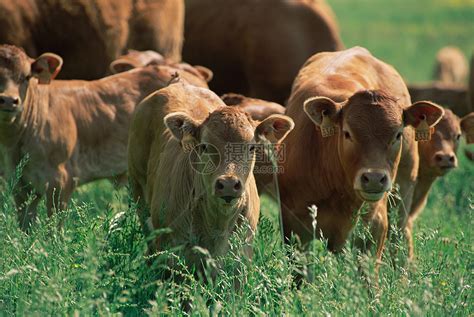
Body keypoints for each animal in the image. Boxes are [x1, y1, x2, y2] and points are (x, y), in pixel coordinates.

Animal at [278, 47, 444, 264]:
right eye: (347, 133)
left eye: (398, 134)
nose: (374, 178)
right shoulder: (295, 226)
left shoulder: (374, 227)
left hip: (403, 190)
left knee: (401, 235)